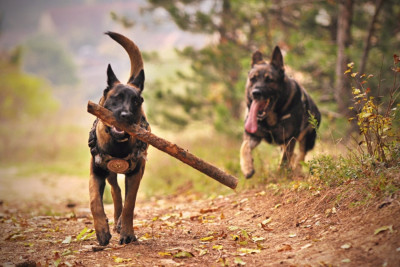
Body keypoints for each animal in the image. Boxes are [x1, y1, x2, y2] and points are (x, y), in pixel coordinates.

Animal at [88, 31, 149, 247]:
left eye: (136, 101)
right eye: (116, 98)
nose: (126, 115)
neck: (117, 145)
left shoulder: (136, 174)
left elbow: (130, 205)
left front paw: (128, 233)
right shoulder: (96, 172)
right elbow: (95, 201)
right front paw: (101, 231)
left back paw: (121, 223)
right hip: (109, 173)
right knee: (115, 191)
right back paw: (114, 222)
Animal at [239, 47, 320, 179]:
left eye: (269, 80)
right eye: (253, 79)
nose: (255, 93)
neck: (270, 119)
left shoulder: (290, 139)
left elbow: (284, 161)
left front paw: (281, 176)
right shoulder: (252, 136)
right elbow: (244, 147)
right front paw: (247, 167)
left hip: (307, 140)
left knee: (300, 156)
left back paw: (296, 171)